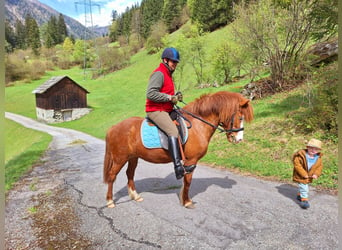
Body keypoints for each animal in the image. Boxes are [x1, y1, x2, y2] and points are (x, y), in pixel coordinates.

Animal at [104, 91, 254, 208]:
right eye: (240, 117)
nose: (239, 139)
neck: (198, 124)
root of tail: (113, 127)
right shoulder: (191, 161)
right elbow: (188, 182)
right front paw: (187, 201)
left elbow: (186, 182)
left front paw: (184, 198)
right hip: (120, 159)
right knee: (112, 176)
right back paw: (110, 201)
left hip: (133, 157)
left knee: (129, 174)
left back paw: (135, 196)